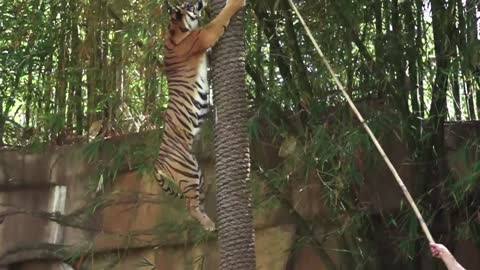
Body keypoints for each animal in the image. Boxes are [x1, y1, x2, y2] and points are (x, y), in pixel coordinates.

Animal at [155, 0, 248, 232]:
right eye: (187, 5)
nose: (199, 2)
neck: (175, 30)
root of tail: (156, 164)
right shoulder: (205, 34)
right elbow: (220, 19)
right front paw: (236, 2)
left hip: (197, 173)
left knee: (196, 201)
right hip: (188, 172)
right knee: (190, 206)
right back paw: (210, 225)